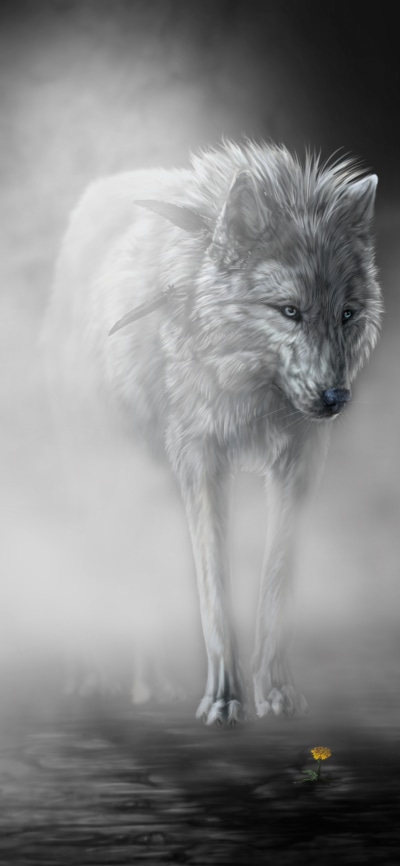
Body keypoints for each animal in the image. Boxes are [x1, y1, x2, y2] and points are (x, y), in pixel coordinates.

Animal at [42, 140, 382, 725]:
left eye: (347, 314)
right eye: (289, 311)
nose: (335, 399)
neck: (253, 391)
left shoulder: (301, 460)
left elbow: (277, 581)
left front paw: (277, 692)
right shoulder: (200, 458)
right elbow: (214, 591)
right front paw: (224, 699)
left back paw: (151, 684)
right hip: (110, 476)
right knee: (107, 564)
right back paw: (99, 678)